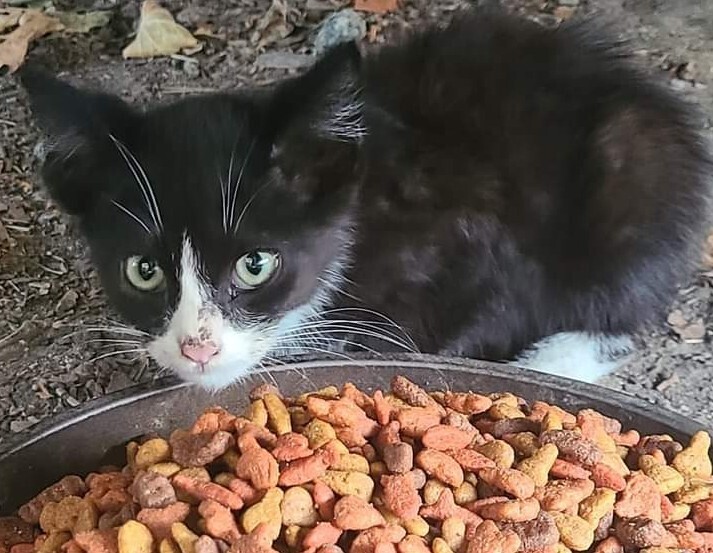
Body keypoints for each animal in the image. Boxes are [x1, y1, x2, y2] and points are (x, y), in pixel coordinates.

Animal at [19, 9, 708, 388]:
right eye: (143, 270)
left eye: (256, 265)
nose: (198, 347)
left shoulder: (481, 245)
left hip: (633, 170)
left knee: (623, 298)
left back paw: (559, 357)